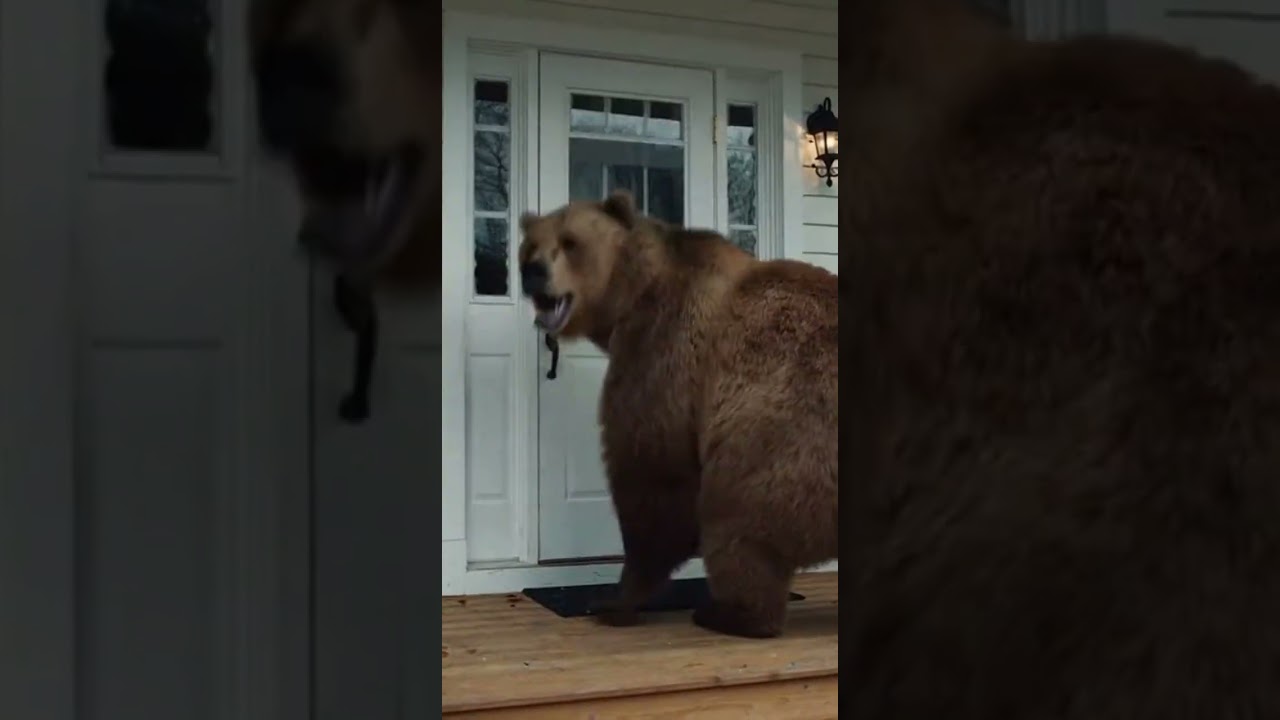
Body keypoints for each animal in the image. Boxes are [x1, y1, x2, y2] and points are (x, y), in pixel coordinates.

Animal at [517, 190, 838, 638]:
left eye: (569, 242)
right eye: (530, 245)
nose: (532, 271)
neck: (629, 295)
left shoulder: (662, 351)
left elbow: (652, 477)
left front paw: (614, 600)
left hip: (784, 433)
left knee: (737, 517)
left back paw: (728, 613)